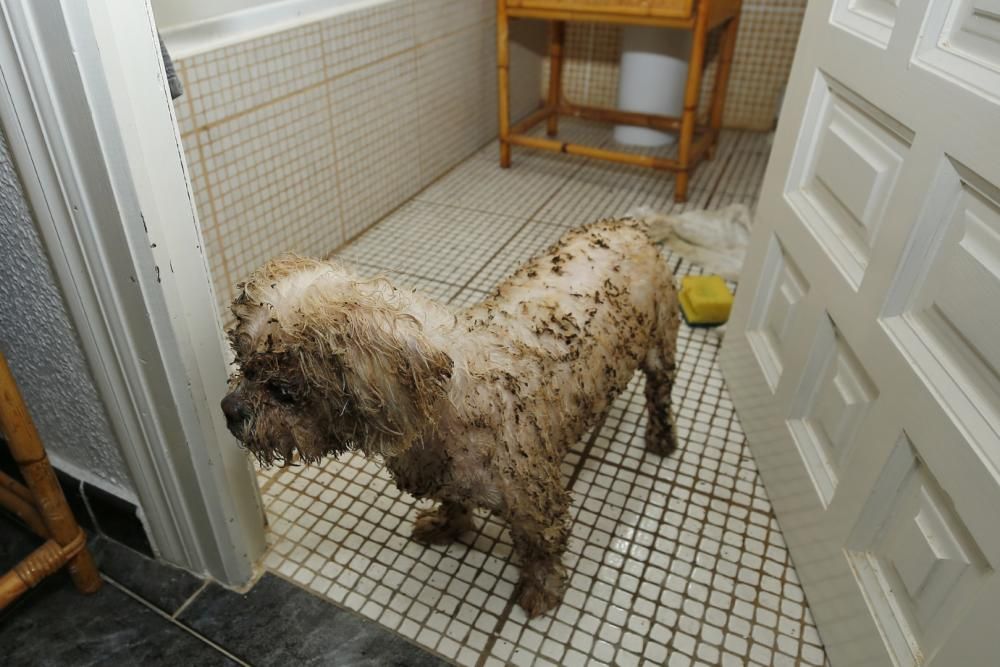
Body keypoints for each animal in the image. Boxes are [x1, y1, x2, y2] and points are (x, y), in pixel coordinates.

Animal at [223, 218, 684, 616]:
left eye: (283, 390)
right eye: (244, 364)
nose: (228, 411)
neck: (448, 406)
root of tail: (629, 225)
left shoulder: (534, 498)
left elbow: (540, 546)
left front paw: (541, 588)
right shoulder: (445, 474)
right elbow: (454, 500)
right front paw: (449, 526)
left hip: (661, 341)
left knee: (660, 392)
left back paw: (661, 437)